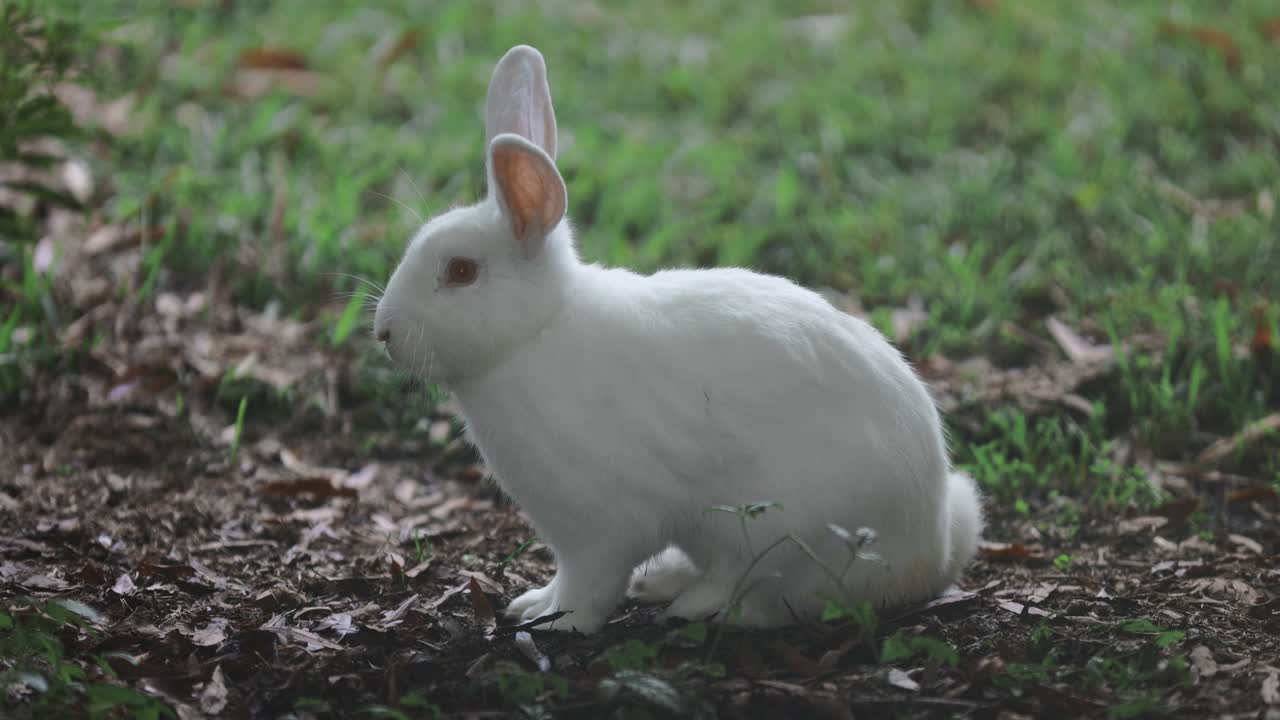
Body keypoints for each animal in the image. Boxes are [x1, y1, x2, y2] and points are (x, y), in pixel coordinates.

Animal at [373, 45, 984, 634]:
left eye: (460, 272)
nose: (383, 332)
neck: (538, 331)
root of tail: (934, 545)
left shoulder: (599, 525)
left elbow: (589, 583)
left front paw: (554, 619)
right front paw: (532, 604)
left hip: (787, 533)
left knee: (770, 594)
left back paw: (695, 607)